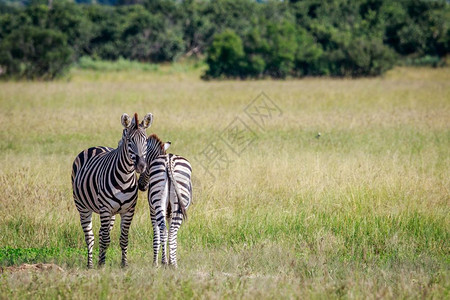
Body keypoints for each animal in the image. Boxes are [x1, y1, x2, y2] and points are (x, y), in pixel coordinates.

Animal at [72, 112, 153, 268]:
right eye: (129, 140)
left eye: (146, 141)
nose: (141, 166)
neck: (125, 178)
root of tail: (96, 146)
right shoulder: (105, 209)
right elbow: (105, 239)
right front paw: (102, 265)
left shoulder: (128, 211)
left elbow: (124, 238)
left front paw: (124, 264)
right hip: (83, 207)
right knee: (90, 237)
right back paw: (91, 264)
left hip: (112, 214)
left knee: (100, 233)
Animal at [138, 134, 192, 268]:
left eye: (143, 164)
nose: (140, 186)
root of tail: (169, 161)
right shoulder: (169, 212)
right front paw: (166, 259)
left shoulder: (153, 210)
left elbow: (156, 235)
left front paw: (156, 262)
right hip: (178, 203)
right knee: (171, 231)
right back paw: (172, 263)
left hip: (159, 203)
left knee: (164, 230)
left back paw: (166, 262)